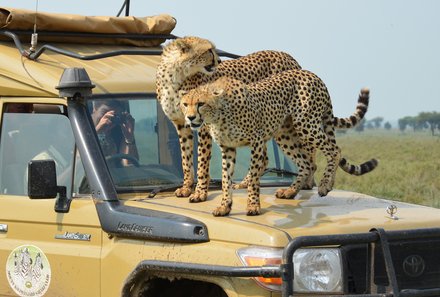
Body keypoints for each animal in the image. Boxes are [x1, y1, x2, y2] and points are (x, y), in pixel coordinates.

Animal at [180, 73, 376, 216]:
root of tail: (312, 74)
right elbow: (226, 179)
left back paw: (324, 185)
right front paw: (225, 206)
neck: (218, 114)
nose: (190, 117)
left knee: (335, 150)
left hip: (306, 124)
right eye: (185, 104)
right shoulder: (228, 148)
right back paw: (291, 191)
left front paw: (253, 205)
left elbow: (253, 177)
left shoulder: (257, 141)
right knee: (306, 163)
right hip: (285, 134)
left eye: (200, 104)